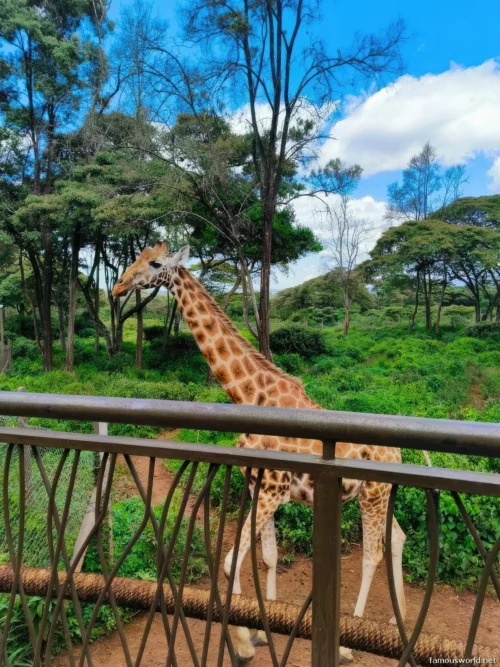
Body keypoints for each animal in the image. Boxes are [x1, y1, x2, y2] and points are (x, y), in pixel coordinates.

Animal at [112, 242, 407, 664]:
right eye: (136, 256)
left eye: (154, 264)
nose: (117, 286)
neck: (250, 397)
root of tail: (398, 454)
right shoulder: (260, 488)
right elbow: (266, 556)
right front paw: (259, 631)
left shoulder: (271, 492)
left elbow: (231, 561)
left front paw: (242, 642)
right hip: (379, 496)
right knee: (397, 537)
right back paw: (399, 624)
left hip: (373, 495)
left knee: (372, 554)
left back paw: (349, 644)